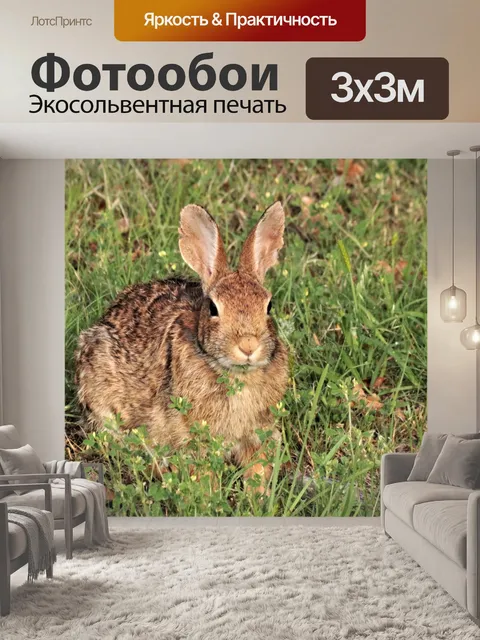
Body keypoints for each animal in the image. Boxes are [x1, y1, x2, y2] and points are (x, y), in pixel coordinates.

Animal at [75, 202, 288, 487]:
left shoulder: (257, 434)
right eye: (213, 308)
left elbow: (257, 470)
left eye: (269, 306)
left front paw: (260, 494)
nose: (248, 346)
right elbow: (202, 474)